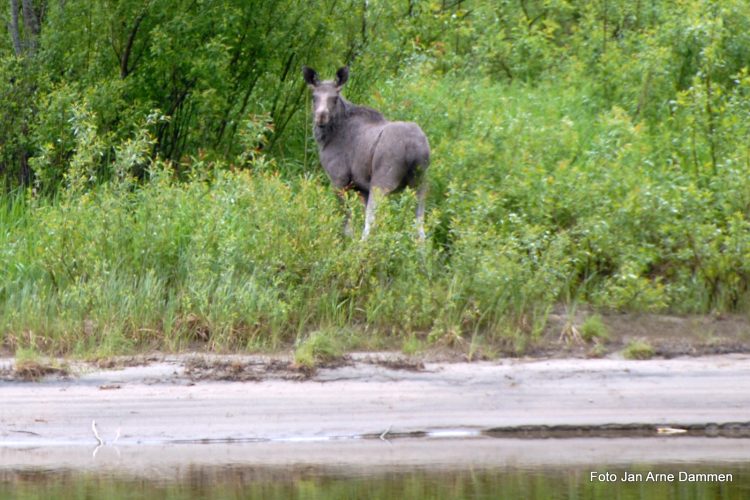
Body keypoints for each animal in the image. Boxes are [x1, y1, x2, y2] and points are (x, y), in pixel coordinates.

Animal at [302, 66, 428, 240]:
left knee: (370, 224)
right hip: (420, 183)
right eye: (314, 97)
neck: (326, 138)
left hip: (382, 182)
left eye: (335, 98)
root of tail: (413, 146)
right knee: (420, 228)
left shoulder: (339, 179)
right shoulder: (362, 188)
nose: (321, 116)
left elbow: (346, 222)